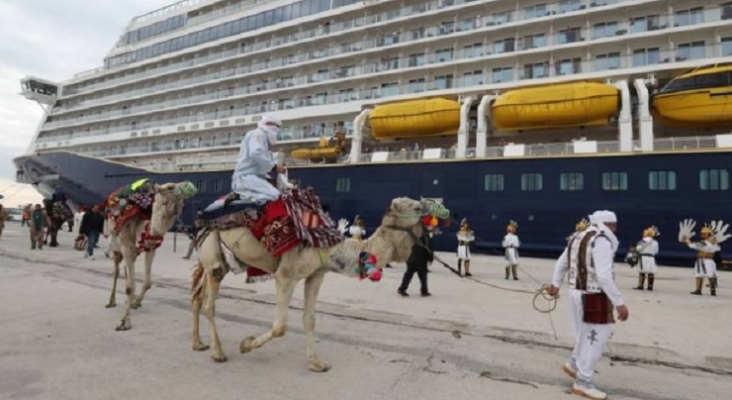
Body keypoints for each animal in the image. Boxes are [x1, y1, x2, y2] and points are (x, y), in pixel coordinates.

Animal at [104, 182, 197, 332]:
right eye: (170, 187)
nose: (190, 186)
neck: (144, 229)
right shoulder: (127, 248)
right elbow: (130, 286)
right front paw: (124, 322)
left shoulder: (150, 249)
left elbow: (147, 282)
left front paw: (135, 302)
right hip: (115, 247)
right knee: (116, 272)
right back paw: (111, 301)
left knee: (125, 272)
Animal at [192, 197, 438, 372]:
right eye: (417, 207)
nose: (433, 208)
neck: (329, 245)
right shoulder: (286, 275)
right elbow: (280, 326)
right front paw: (246, 345)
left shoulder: (316, 274)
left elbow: (309, 320)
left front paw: (316, 363)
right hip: (214, 257)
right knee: (208, 304)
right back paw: (218, 352)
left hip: (212, 258)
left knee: (197, 296)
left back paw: (198, 344)